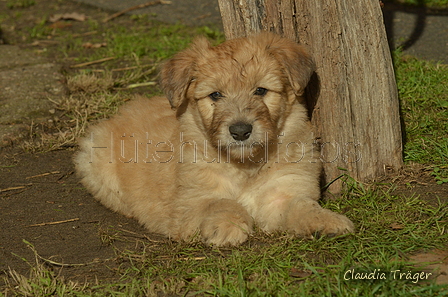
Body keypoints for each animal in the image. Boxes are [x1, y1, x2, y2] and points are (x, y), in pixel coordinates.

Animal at [74, 32, 354, 245]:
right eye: (215, 95)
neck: (245, 166)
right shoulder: (190, 201)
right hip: (94, 161)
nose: (240, 131)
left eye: (260, 90)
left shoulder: (282, 193)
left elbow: (302, 206)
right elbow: (220, 202)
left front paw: (327, 221)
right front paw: (228, 226)